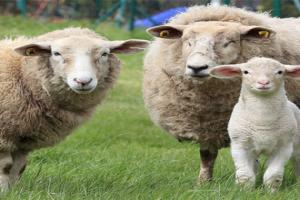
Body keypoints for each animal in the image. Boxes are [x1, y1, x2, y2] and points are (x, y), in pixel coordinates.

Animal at [0, 27, 149, 190]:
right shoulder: (4, 136)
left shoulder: (23, 138)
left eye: (104, 54)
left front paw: (13, 191)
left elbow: (18, 168)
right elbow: (5, 167)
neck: (22, 74)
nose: (83, 81)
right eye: (56, 53)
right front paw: (4, 190)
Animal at [209, 57, 300, 191]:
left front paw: (272, 192)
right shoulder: (240, 145)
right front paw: (244, 191)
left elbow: (273, 175)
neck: (262, 120)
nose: (263, 82)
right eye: (245, 72)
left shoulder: (283, 147)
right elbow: (245, 176)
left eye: (280, 72)